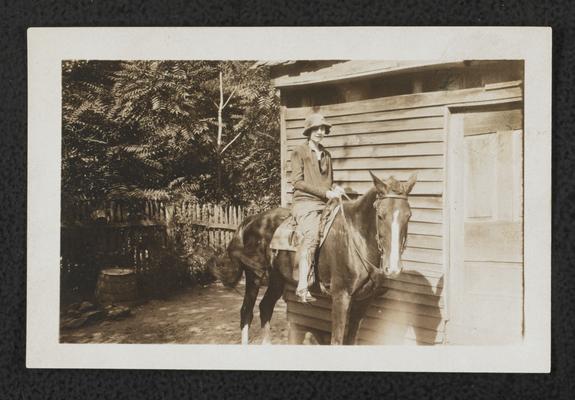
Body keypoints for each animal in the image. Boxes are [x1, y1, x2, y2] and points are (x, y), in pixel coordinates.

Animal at [209, 172, 416, 344]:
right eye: (380, 216)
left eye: (408, 216)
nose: (393, 268)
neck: (356, 238)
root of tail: (252, 220)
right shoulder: (340, 297)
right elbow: (337, 340)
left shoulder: (363, 301)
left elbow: (351, 340)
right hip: (254, 277)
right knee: (246, 312)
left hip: (277, 280)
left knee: (265, 308)